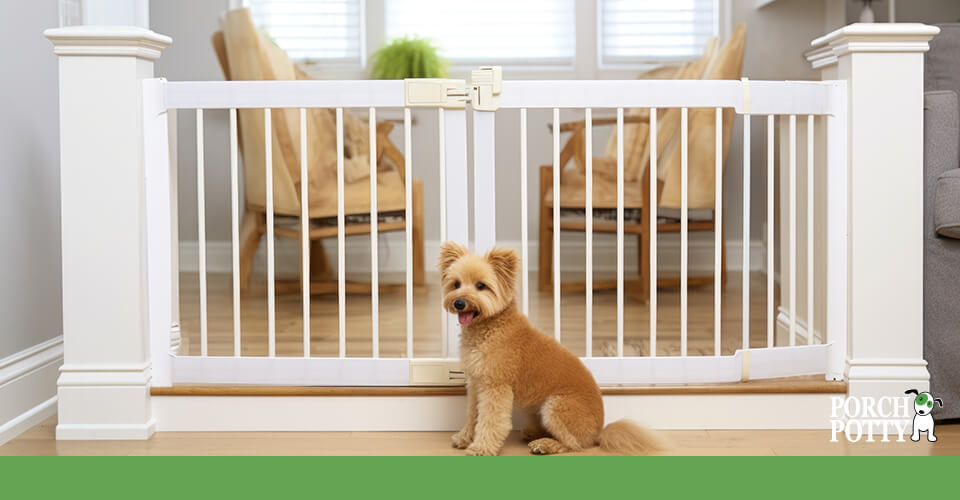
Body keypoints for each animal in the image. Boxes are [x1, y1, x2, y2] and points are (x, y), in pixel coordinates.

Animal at [438, 240, 664, 456]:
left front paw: (482, 448)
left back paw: (545, 444)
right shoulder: (477, 384)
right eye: (456, 284)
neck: (490, 328)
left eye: (481, 285)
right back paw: (533, 433)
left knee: (574, 445)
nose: (459, 302)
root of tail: (599, 432)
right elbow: (472, 415)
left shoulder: (495, 387)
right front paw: (464, 438)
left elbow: (491, 421)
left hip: (555, 406)